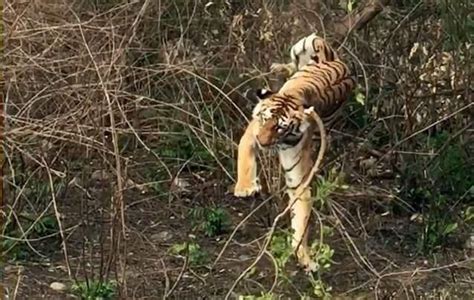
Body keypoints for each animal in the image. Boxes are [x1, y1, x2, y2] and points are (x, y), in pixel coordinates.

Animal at [235, 39, 354, 270]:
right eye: (265, 119)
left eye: (280, 128)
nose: (262, 142)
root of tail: (340, 62)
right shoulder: (251, 133)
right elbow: (244, 159)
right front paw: (245, 188)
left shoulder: (298, 177)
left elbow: (301, 215)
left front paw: (304, 256)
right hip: (307, 42)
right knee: (293, 63)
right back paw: (279, 68)